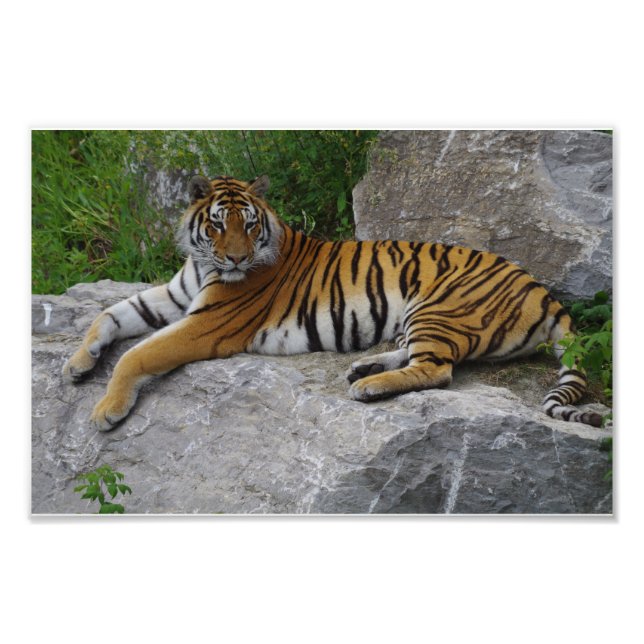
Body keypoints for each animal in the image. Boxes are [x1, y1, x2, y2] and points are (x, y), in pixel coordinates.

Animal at [63, 174, 605, 430]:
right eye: (217, 225)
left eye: (250, 225)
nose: (237, 257)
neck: (202, 263)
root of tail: (543, 290)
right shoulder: (173, 297)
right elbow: (109, 315)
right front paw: (77, 363)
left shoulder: (205, 325)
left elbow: (138, 354)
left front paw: (106, 411)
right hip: (419, 316)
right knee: (420, 356)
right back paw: (364, 368)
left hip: (438, 307)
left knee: (438, 370)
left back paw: (369, 387)